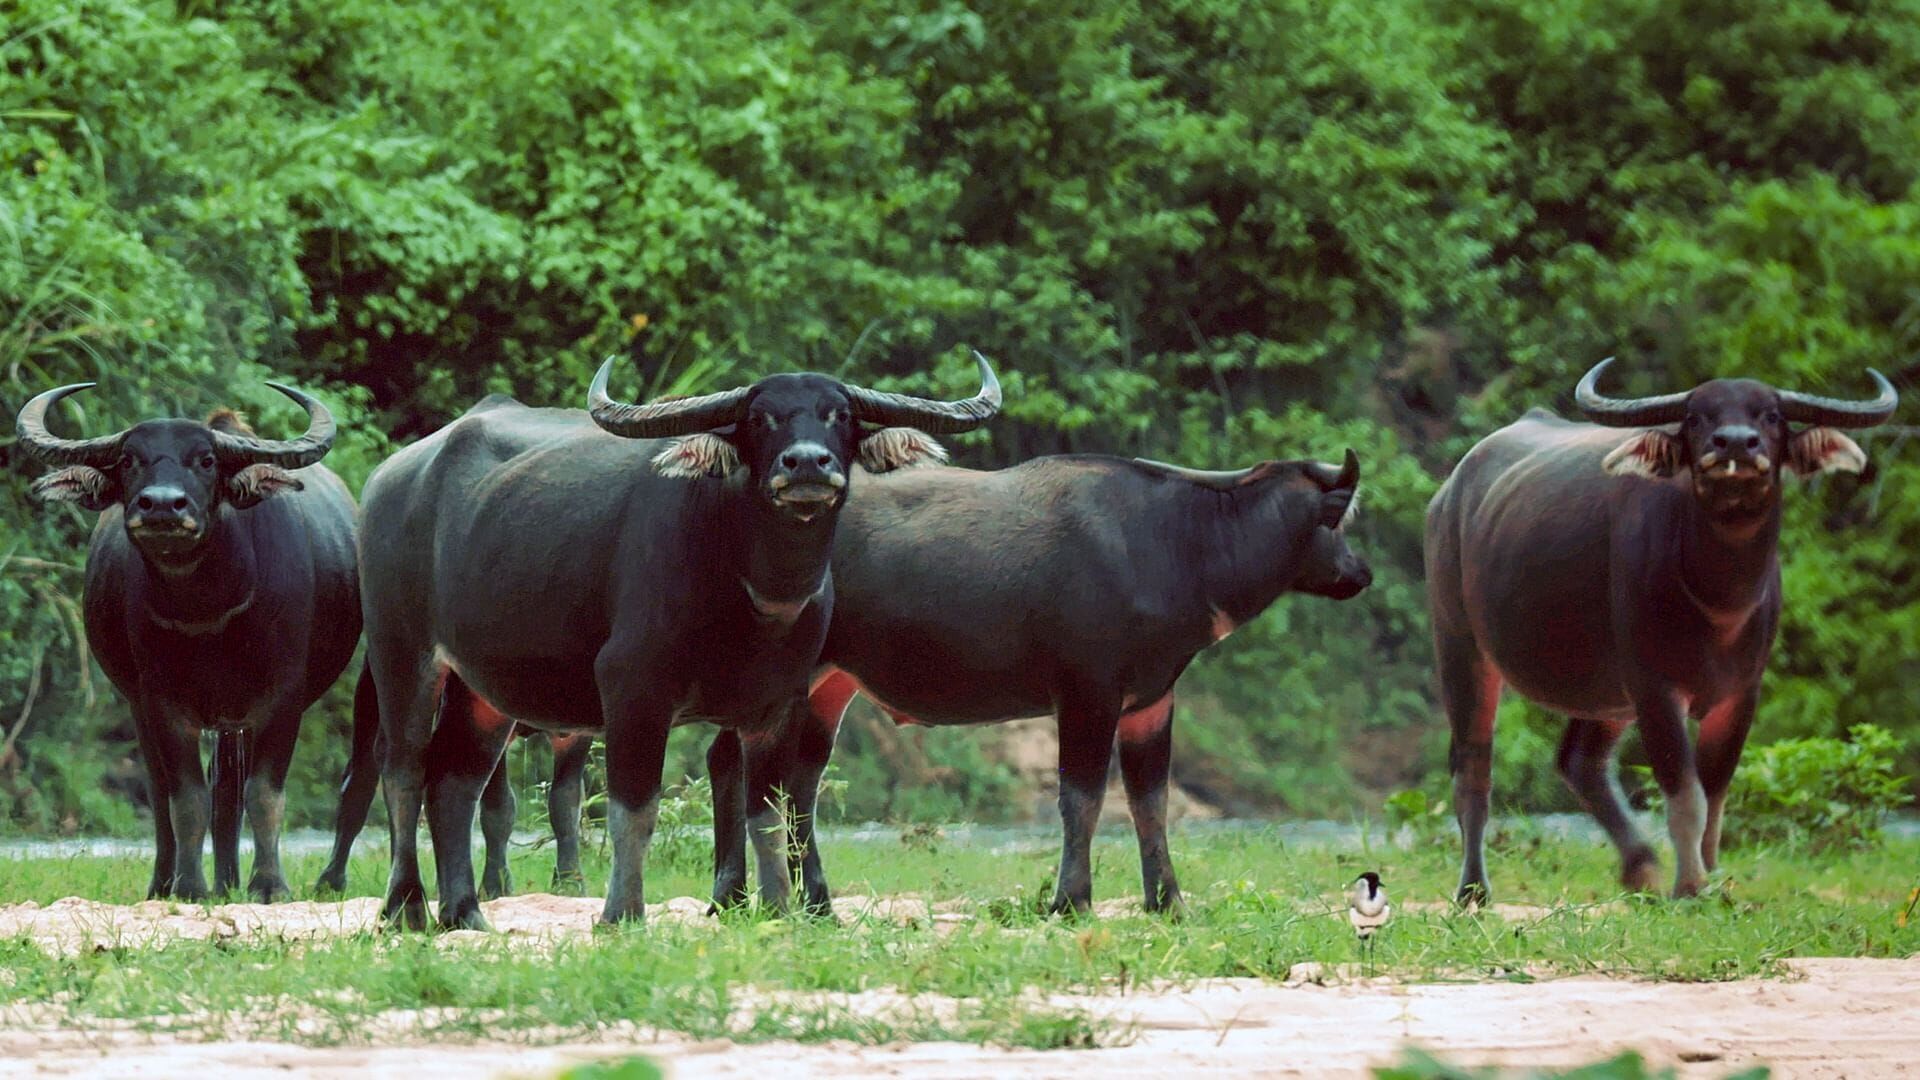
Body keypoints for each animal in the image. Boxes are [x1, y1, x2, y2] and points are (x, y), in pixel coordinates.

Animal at [16, 378, 360, 899]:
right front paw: (190, 887)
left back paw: (231, 883)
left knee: (230, 793)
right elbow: (186, 800)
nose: (162, 505)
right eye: (128, 459)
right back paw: (173, 882)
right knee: (166, 797)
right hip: (150, 710)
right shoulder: (161, 703)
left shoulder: (283, 699)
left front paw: (268, 886)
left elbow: (264, 795)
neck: (207, 613)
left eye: (207, 460)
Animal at [355, 353, 1006, 926]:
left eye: (840, 415)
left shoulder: (779, 703)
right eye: (760, 418)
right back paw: (405, 908)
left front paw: (778, 910)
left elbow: (767, 813)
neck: (751, 591)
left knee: (454, 780)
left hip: (482, 688)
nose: (807, 465)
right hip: (401, 652)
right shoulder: (632, 689)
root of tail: (391, 477)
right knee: (404, 770)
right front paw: (622, 915)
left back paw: (464, 913)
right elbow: (634, 810)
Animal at [714, 441, 1374, 910]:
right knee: (748, 770)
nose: (1360, 572)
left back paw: (789, 902)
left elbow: (1151, 802)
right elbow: (1082, 799)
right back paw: (756, 899)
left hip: (830, 686)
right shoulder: (1087, 693)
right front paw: (1071, 899)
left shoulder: (1151, 701)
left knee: (783, 780)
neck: (1180, 543)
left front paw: (1168, 901)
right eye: (1339, 521)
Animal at [1436, 357, 1896, 895]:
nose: (1735, 443)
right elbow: (1687, 795)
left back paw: (1642, 868)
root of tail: (1449, 494)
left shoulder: (1741, 694)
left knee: (1580, 761)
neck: (1717, 605)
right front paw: (1691, 888)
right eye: (1696, 417)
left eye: (1772, 416)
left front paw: (1712, 876)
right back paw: (1474, 889)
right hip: (1460, 645)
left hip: (1608, 693)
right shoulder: (1656, 689)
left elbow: (1715, 795)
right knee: (1474, 767)